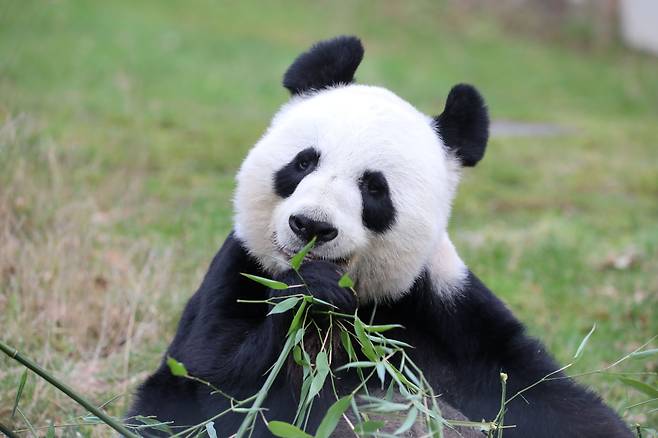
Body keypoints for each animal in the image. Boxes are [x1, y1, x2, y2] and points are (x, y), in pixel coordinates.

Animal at [128, 36, 632, 436]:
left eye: (374, 188)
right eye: (303, 162)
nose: (311, 226)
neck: (362, 303)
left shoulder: (442, 307)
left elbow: (536, 393)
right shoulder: (243, 270)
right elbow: (215, 381)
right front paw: (311, 295)